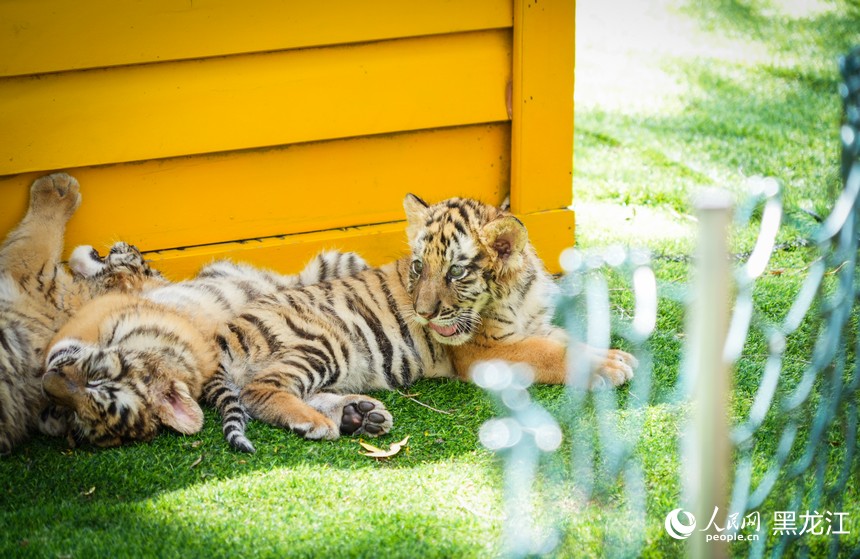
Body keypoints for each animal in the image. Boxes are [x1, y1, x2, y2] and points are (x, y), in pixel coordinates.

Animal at [212, 194, 637, 451]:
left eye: (455, 272)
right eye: (419, 266)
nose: (423, 312)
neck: (519, 292)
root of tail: (223, 332)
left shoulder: (534, 327)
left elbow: (563, 340)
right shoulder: (485, 352)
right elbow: (551, 354)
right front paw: (610, 365)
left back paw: (360, 415)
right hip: (325, 341)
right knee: (258, 389)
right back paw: (314, 422)